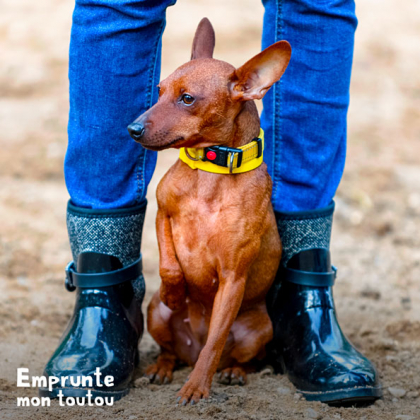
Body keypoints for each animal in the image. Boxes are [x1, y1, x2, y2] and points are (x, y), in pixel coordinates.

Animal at [129, 18, 288, 406]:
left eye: (187, 99)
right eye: (159, 90)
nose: (133, 128)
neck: (209, 172)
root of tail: (189, 347)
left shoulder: (233, 279)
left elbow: (214, 344)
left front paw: (197, 388)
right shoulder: (162, 215)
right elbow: (170, 267)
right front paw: (175, 292)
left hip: (259, 331)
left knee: (235, 357)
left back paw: (232, 373)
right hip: (155, 314)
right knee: (170, 351)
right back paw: (161, 368)